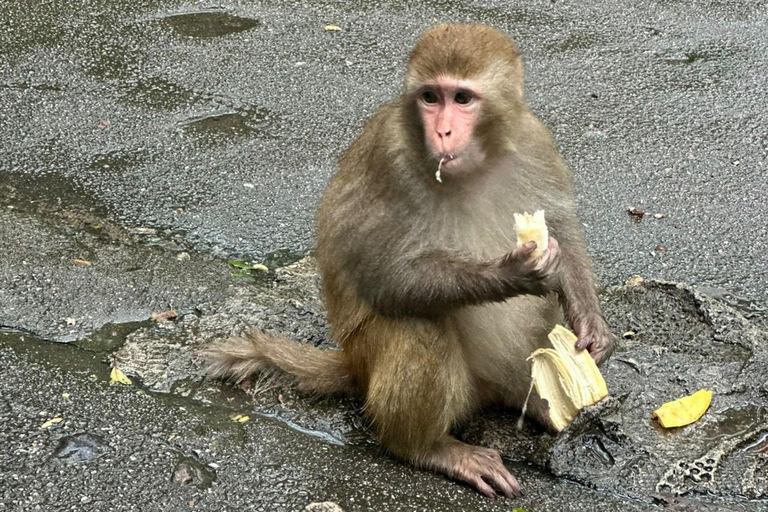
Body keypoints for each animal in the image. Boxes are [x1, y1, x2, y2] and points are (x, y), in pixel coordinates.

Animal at [206, 25, 616, 500]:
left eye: (462, 98)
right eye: (430, 97)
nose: (442, 131)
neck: (474, 168)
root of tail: (354, 367)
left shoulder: (536, 142)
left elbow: (562, 230)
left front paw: (591, 324)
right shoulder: (388, 160)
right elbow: (388, 279)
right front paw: (510, 273)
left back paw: (537, 406)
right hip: (374, 362)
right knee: (418, 324)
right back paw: (428, 448)